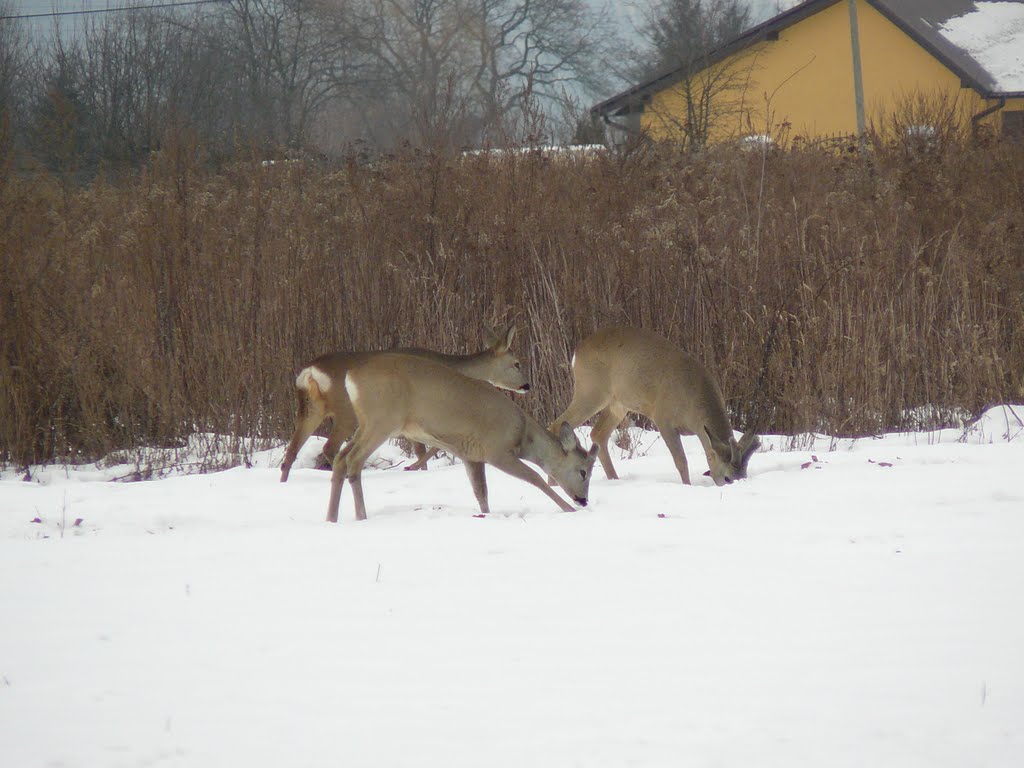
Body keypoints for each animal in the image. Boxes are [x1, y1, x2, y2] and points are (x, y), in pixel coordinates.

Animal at [280, 327, 528, 483]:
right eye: (517, 364)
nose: (527, 385)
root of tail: (310, 371)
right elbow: (430, 447)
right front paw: (414, 467)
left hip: (311, 408)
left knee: (291, 450)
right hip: (346, 411)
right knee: (329, 448)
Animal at [327, 354, 598, 524]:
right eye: (583, 471)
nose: (584, 500)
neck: (523, 435)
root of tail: (351, 376)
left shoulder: (471, 455)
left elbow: (481, 493)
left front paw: (486, 515)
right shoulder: (495, 450)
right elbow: (535, 477)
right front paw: (567, 509)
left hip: (368, 423)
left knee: (341, 458)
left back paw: (332, 518)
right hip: (382, 420)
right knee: (353, 460)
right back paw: (360, 516)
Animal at [548, 325, 757, 487]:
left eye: (743, 475)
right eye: (727, 477)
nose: (736, 486)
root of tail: (577, 351)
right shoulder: (663, 417)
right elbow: (681, 460)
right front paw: (687, 486)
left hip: (618, 403)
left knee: (598, 433)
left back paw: (614, 479)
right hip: (591, 390)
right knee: (557, 424)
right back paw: (554, 483)